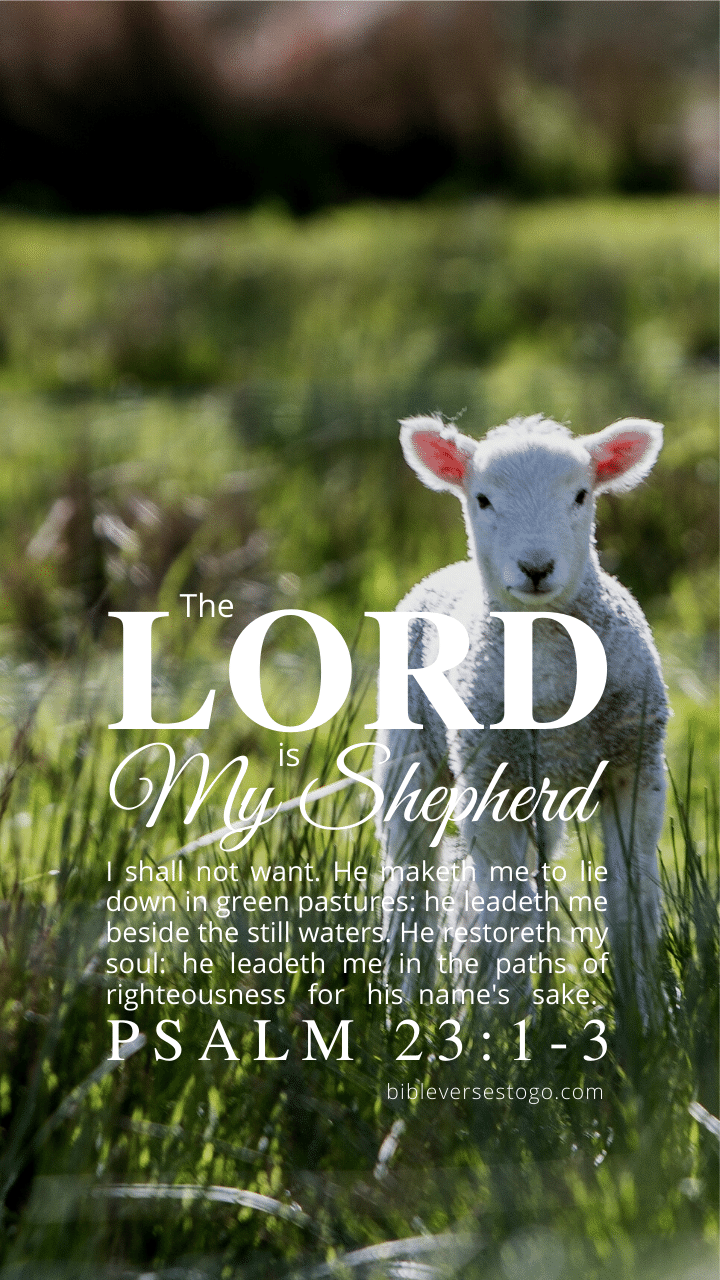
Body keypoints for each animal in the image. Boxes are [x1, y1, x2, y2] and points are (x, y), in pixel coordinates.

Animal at [374, 413, 667, 1019]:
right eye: (482, 499)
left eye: (581, 495)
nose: (536, 568)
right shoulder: (489, 779)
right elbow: (510, 911)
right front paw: (502, 1021)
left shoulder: (636, 768)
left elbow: (631, 899)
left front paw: (645, 1019)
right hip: (409, 753)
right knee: (413, 886)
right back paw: (408, 1005)